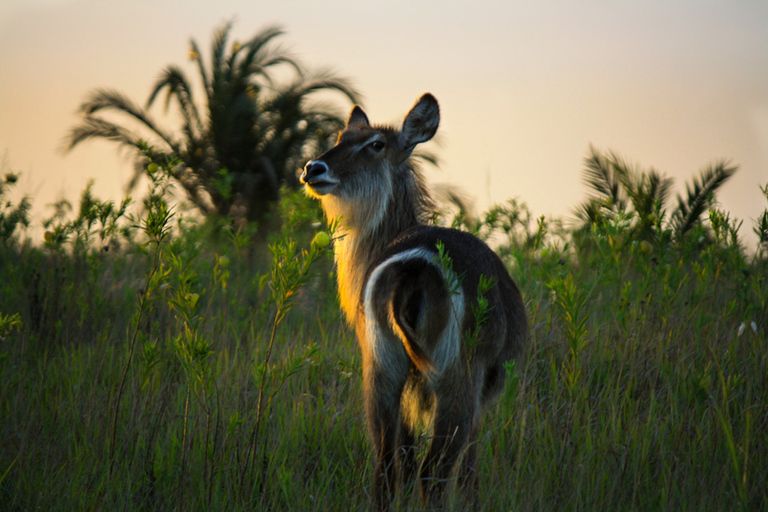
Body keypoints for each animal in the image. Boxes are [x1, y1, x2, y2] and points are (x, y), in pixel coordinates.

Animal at [300, 94, 528, 510]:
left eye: (375, 144)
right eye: (341, 137)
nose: (313, 167)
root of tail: (413, 267)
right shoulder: (483, 391)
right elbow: (468, 471)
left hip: (382, 368)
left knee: (388, 466)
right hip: (455, 376)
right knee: (433, 472)